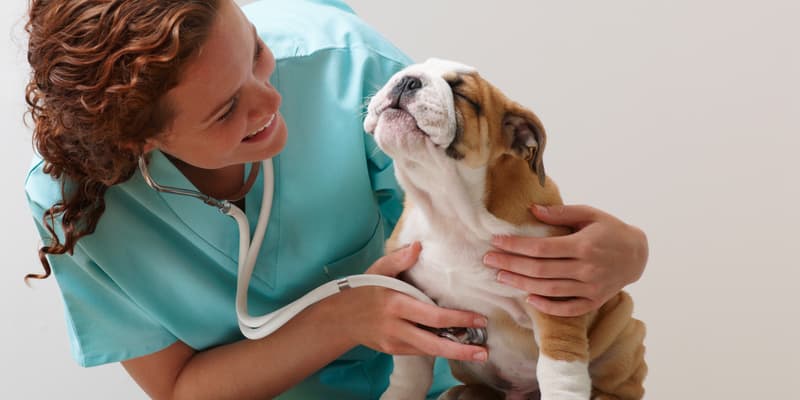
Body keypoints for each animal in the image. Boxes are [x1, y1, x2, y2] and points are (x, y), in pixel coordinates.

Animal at [366, 59, 648, 400]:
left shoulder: (555, 301)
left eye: (462, 94)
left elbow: (560, 370)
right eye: (407, 71)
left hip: (624, 329)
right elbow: (410, 370)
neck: (452, 211)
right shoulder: (412, 299)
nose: (407, 80)